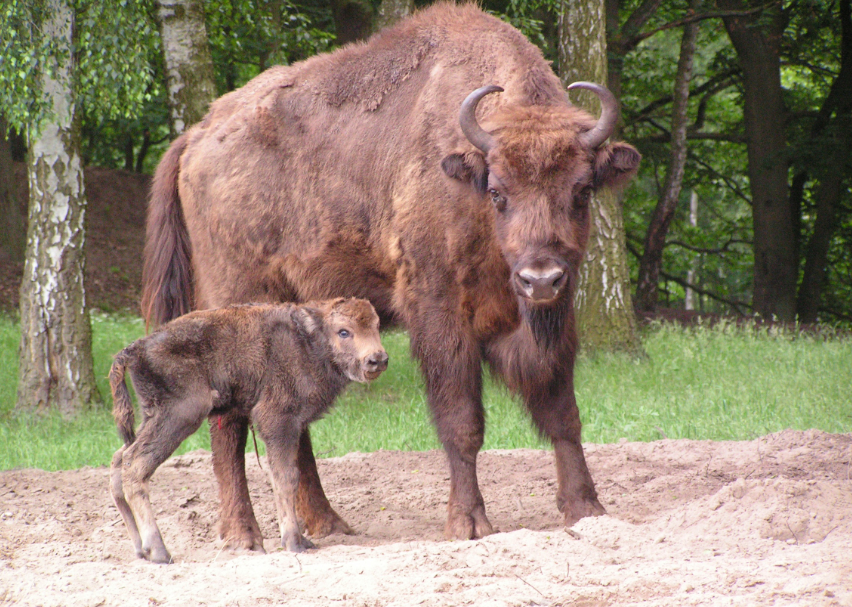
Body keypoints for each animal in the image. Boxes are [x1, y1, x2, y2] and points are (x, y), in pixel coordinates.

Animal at [108, 300, 388, 564]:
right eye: (344, 331)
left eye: (376, 325)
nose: (378, 359)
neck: (308, 341)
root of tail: (135, 349)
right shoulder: (277, 421)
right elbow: (286, 476)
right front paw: (294, 542)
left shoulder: (293, 426)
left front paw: (303, 541)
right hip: (179, 415)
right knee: (135, 465)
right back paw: (159, 552)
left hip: (150, 417)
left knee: (118, 459)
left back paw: (140, 549)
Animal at [145, 2, 640, 548]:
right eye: (497, 191)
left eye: (582, 191)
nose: (540, 278)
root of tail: (196, 137)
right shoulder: (440, 314)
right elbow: (462, 420)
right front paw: (468, 522)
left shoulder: (554, 319)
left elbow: (563, 413)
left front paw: (586, 509)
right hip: (233, 306)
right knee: (228, 422)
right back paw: (243, 534)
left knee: (292, 424)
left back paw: (329, 522)